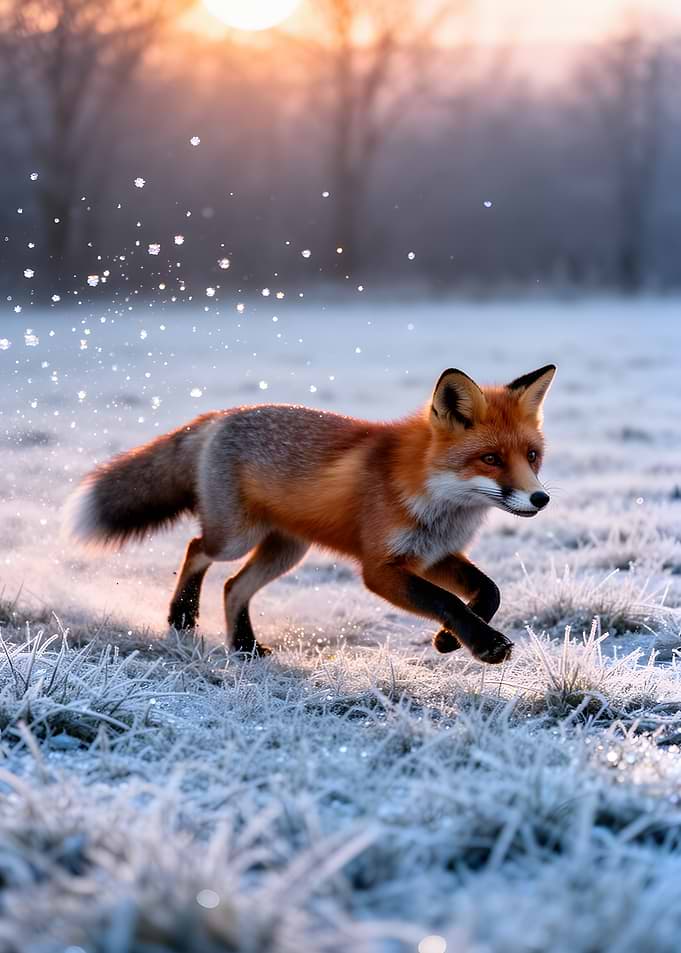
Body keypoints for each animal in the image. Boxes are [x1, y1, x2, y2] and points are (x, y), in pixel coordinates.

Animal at [63, 363, 556, 664]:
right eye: (491, 459)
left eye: (532, 456)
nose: (540, 499)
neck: (431, 494)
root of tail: (223, 414)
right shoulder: (381, 568)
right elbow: (446, 601)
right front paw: (484, 644)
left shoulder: (432, 555)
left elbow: (488, 591)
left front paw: (450, 639)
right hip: (236, 537)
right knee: (196, 548)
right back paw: (182, 615)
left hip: (287, 550)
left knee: (233, 586)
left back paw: (244, 648)